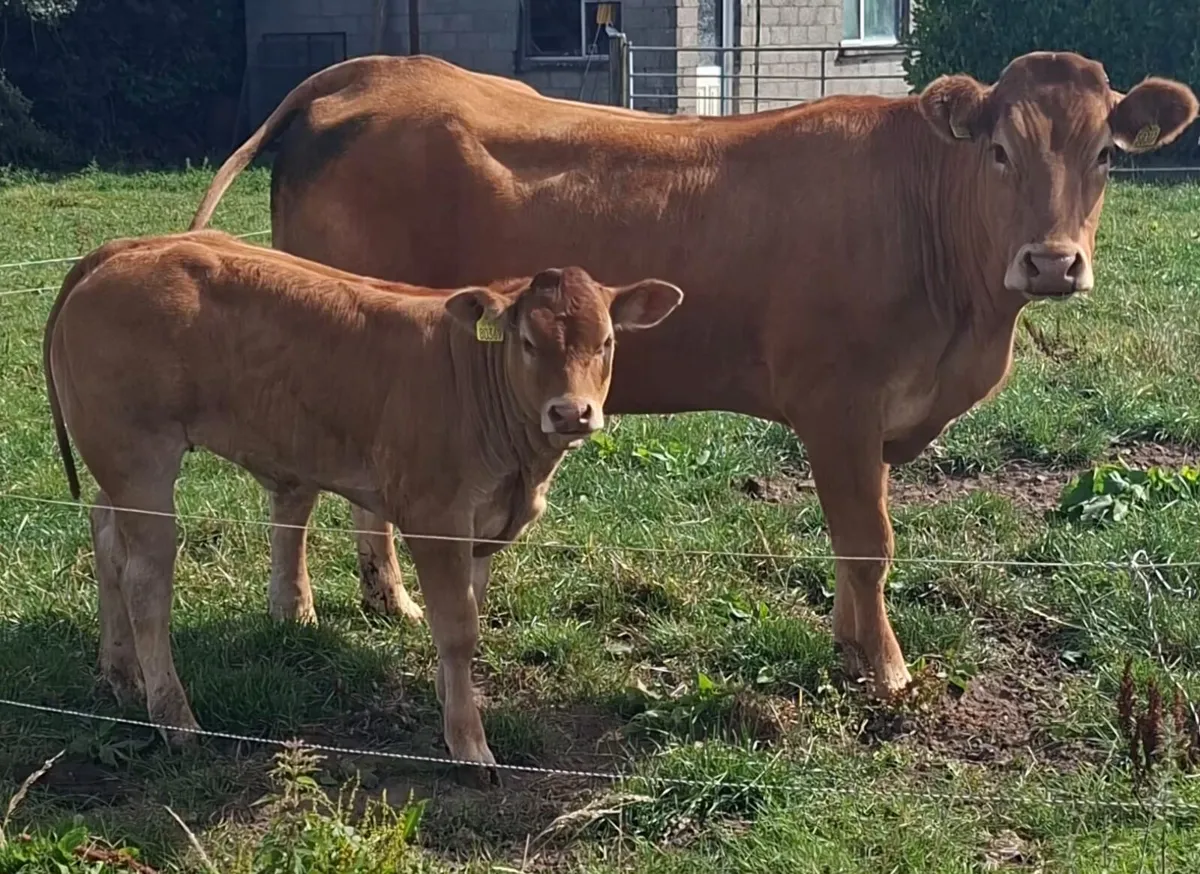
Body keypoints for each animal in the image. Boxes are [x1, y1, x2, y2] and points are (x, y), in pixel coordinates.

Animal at [42, 230, 684, 780]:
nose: (571, 413)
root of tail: (129, 248)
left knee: (108, 544)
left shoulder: (482, 526)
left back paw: (122, 675)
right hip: (141, 460)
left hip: (117, 468)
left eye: (605, 342)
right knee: (146, 582)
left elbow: (469, 610)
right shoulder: (435, 518)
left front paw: (450, 696)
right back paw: (176, 720)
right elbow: (459, 628)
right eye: (528, 342)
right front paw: (468, 744)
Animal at [188, 51, 1198, 701]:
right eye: (998, 151)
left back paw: (384, 597)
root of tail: (362, 72)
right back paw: (298, 609)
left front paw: (848, 645)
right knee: (294, 487)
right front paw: (887, 670)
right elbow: (869, 539)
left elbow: (852, 542)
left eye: (1105, 156)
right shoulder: (837, 402)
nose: (1052, 262)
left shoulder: (876, 424)